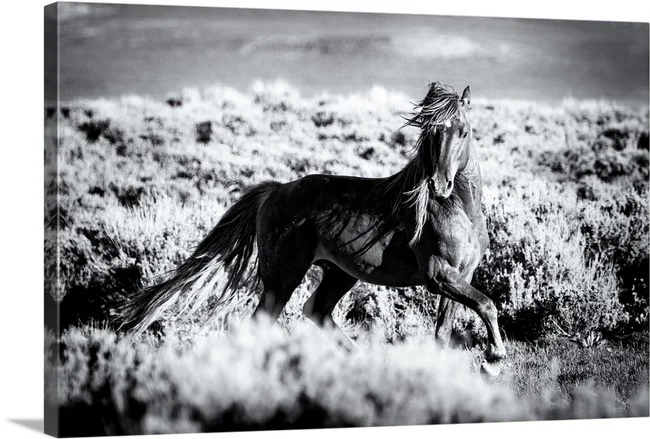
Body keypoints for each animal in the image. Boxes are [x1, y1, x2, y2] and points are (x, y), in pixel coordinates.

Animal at [119, 82, 507, 374]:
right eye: (430, 134)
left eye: (464, 132)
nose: (439, 184)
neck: (458, 212)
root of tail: (274, 191)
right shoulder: (438, 274)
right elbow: (487, 305)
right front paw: (493, 360)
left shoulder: (461, 275)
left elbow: (446, 330)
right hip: (283, 279)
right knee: (264, 322)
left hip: (339, 273)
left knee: (316, 311)